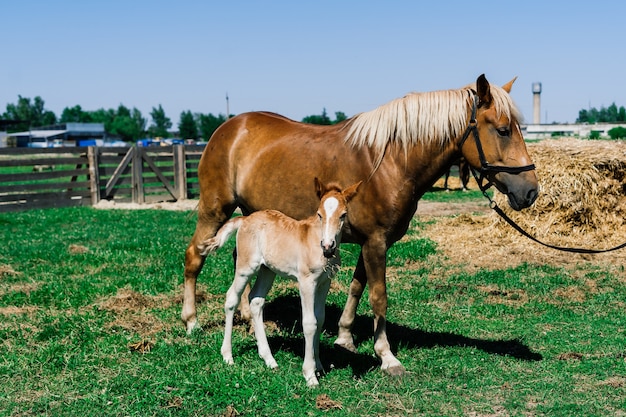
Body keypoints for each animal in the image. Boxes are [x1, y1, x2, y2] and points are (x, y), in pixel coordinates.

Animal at [195, 177, 360, 386]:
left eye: (343, 215)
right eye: (319, 214)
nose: (328, 246)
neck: (316, 242)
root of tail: (245, 219)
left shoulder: (324, 283)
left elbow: (320, 318)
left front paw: (319, 365)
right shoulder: (306, 282)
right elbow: (310, 323)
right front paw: (310, 374)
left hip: (267, 270)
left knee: (256, 300)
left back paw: (269, 359)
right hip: (245, 267)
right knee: (232, 298)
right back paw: (227, 355)